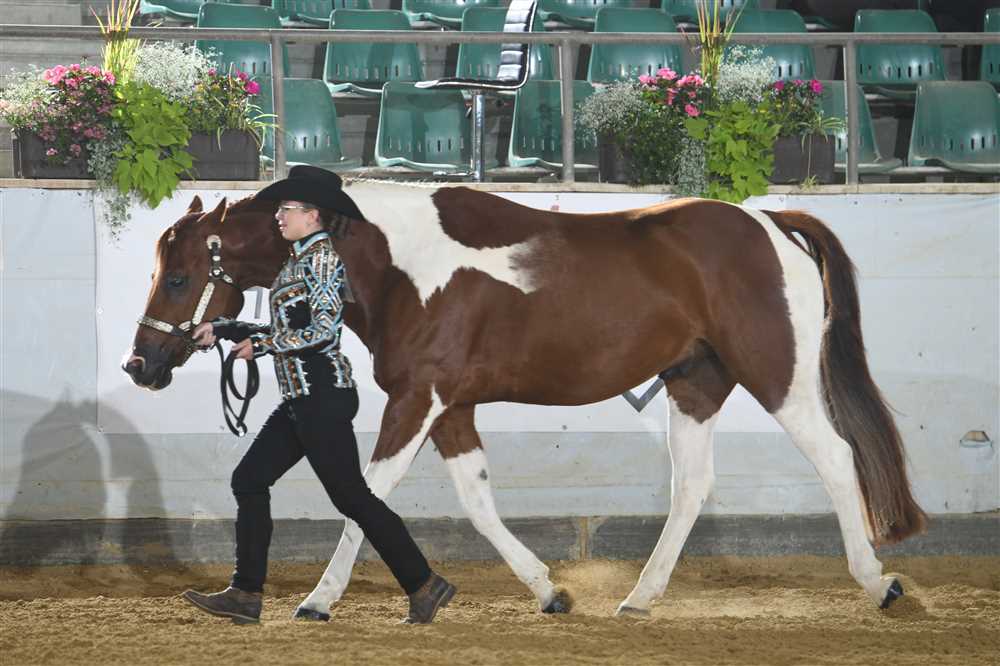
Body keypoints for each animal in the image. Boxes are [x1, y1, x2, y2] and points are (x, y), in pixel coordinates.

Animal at [124, 181, 926, 618]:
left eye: (178, 276)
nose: (140, 364)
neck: (397, 265)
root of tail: (770, 224)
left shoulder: (417, 400)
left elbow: (365, 495)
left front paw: (319, 600)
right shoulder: (450, 408)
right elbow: (477, 500)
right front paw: (548, 591)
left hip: (777, 375)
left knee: (837, 456)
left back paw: (879, 583)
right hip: (696, 384)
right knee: (693, 485)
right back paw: (639, 598)